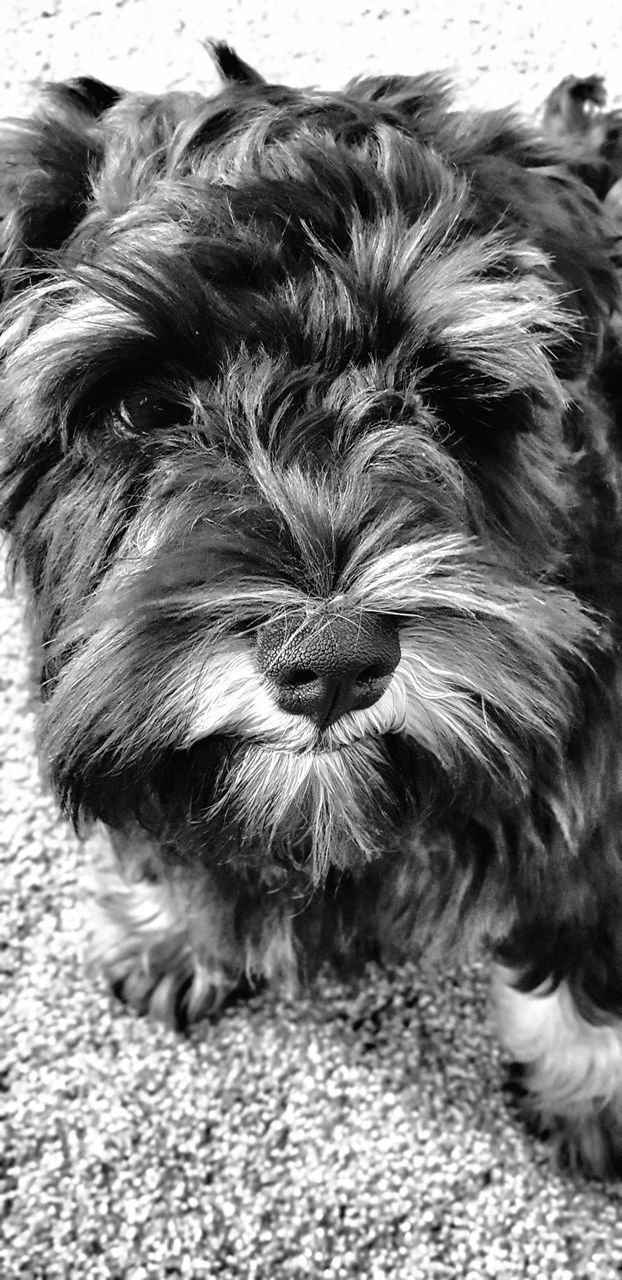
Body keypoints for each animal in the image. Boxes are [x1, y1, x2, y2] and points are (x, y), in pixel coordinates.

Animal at [1, 45, 622, 1172]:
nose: (333, 661)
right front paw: (172, 925)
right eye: (137, 402)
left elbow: (583, 939)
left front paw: (592, 1089)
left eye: (439, 386)